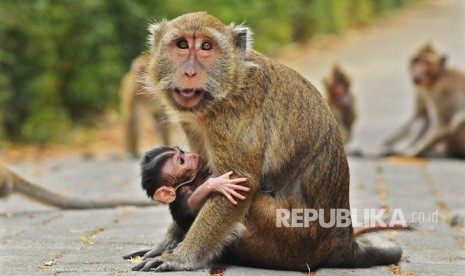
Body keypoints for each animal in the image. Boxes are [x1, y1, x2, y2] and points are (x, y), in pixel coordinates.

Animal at [124, 12, 406, 272]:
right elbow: (202, 175)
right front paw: (165, 244)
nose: (190, 72)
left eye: (206, 46)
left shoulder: (232, 121)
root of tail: (342, 242)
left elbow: (238, 184)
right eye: (182, 44)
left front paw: (180, 258)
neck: (230, 86)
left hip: (288, 239)